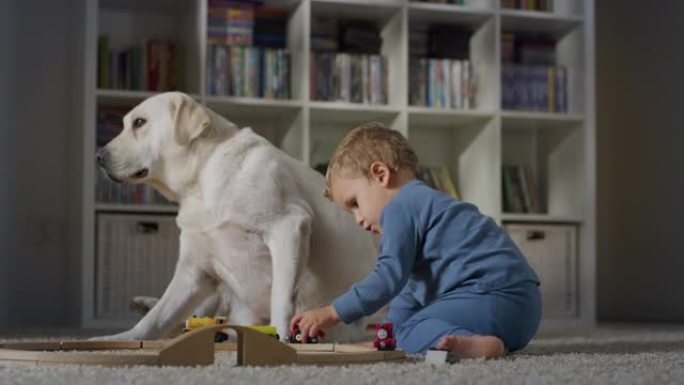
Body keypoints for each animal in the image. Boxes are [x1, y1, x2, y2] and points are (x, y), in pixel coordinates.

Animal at [93, 92, 376, 340]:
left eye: (139, 123)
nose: (98, 156)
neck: (202, 178)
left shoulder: (288, 226)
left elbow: (281, 297)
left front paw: (282, 337)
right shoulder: (193, 272)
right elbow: (156, 318)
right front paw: (121, 339)